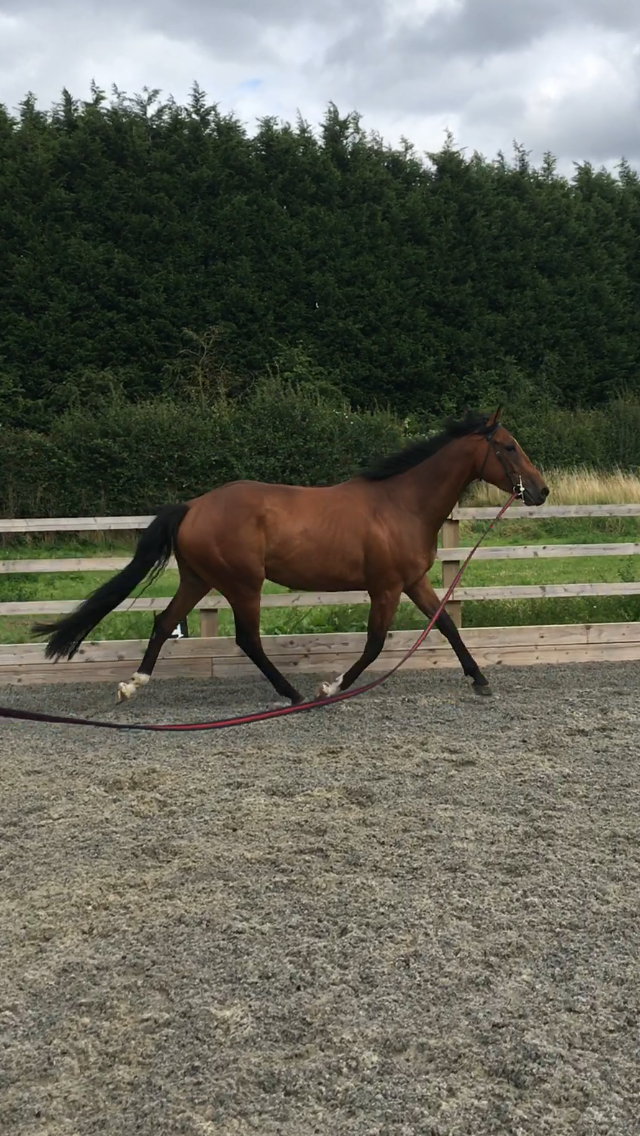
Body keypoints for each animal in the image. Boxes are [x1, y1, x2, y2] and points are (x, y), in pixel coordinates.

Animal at [33, 408, 548, 705]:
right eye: (509, 446)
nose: (541, 490)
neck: (401, 503)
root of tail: (194, 506)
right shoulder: (384, 588)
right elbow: (374, 645)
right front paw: (330, 687)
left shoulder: (413, 582)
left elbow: (446, 627)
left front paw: (479, 680)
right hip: (243, 584)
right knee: (247, 639)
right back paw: (293, 692)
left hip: (199, 579)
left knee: (163, 623)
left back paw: (131, 684)